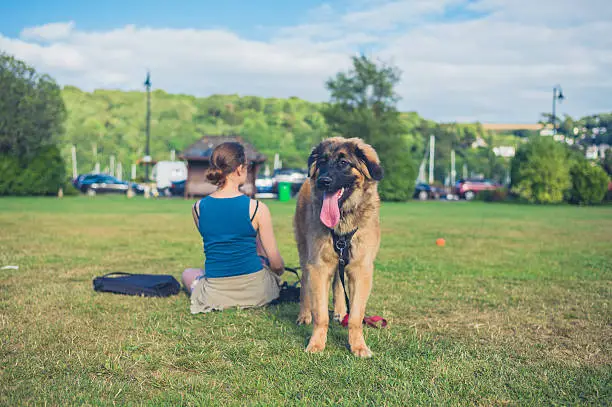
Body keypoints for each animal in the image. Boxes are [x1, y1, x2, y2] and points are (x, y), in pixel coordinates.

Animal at [292, 137, 382, 356]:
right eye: (322, 162)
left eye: (343, 163)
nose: (323, 181)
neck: (342, 224)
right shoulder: (319, 267)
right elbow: (321, 315)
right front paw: (316, 344)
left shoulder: (361, 270)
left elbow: (356, 316)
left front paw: (358, 346)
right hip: (305, 255)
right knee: (304, 285)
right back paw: (304, 315)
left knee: (338, 285)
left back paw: (341, 312)